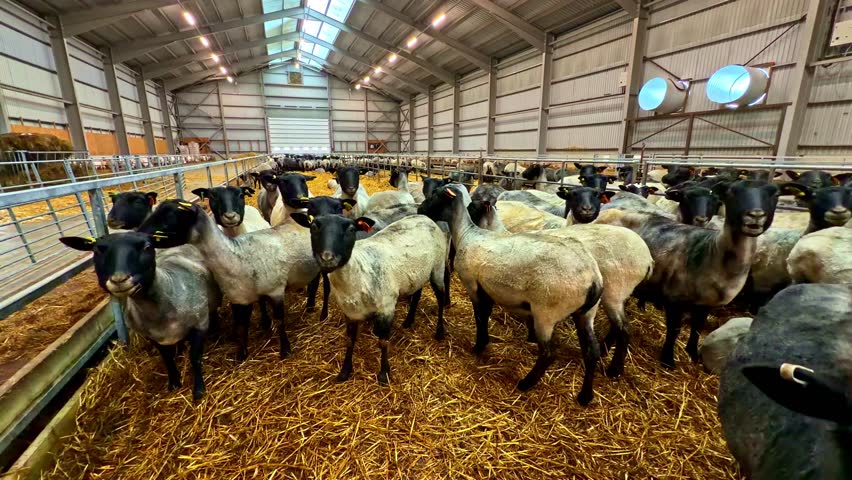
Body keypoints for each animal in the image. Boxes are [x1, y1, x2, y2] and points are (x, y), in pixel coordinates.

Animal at [60, 232, 220, 400]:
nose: (119, 279)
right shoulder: (154, 337)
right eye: (96, 250)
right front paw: (174, 383)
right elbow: (167, 359)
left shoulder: (199, 325)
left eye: (147, 247)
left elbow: (195, 358)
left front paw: (199, 390)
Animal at [138, 198, 324, 361]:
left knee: (315, 283)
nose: (138, 235)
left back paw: (310, 307)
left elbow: (279, 321)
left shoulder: (275, 291)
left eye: (170, 216)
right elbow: (241, 326)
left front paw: (285, 350)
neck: (236, 256)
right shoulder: (241, 298)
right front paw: (241, 355)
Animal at [290, 213, 449, 384]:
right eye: (313, 227)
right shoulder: (350, 313)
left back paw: (440, 331)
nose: (327, 258)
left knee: (440, 297)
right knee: (417, 293)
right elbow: (350, 341)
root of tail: (424, 217)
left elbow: (383, 342)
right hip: (417, 274)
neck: (358, 276)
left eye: (351, 230)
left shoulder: (386, 308)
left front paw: (384, 374)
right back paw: (408, 321)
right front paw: (345, 371)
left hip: (438, 268)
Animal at [419, 187, 604, 405]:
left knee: (548, 353)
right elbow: (486, 314)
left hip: (546, 313)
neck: (466, 233)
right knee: (592, 351)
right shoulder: (487, 289)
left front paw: (478, 346)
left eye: (435, 195)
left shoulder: (472, 285)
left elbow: (479, 316)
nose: (419, 209)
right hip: (586, 314)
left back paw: (526, 383)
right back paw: (585, 396)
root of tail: (593, 278)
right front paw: (484, 342)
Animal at [594, 180, 780, 368]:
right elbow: (674, 330)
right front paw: (668, 360)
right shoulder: (675, 299)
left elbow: (697, 326)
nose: (756, 215)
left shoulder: (706, 304)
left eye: (775, 194)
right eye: (732, 192)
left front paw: (692, 353)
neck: (712, 251)